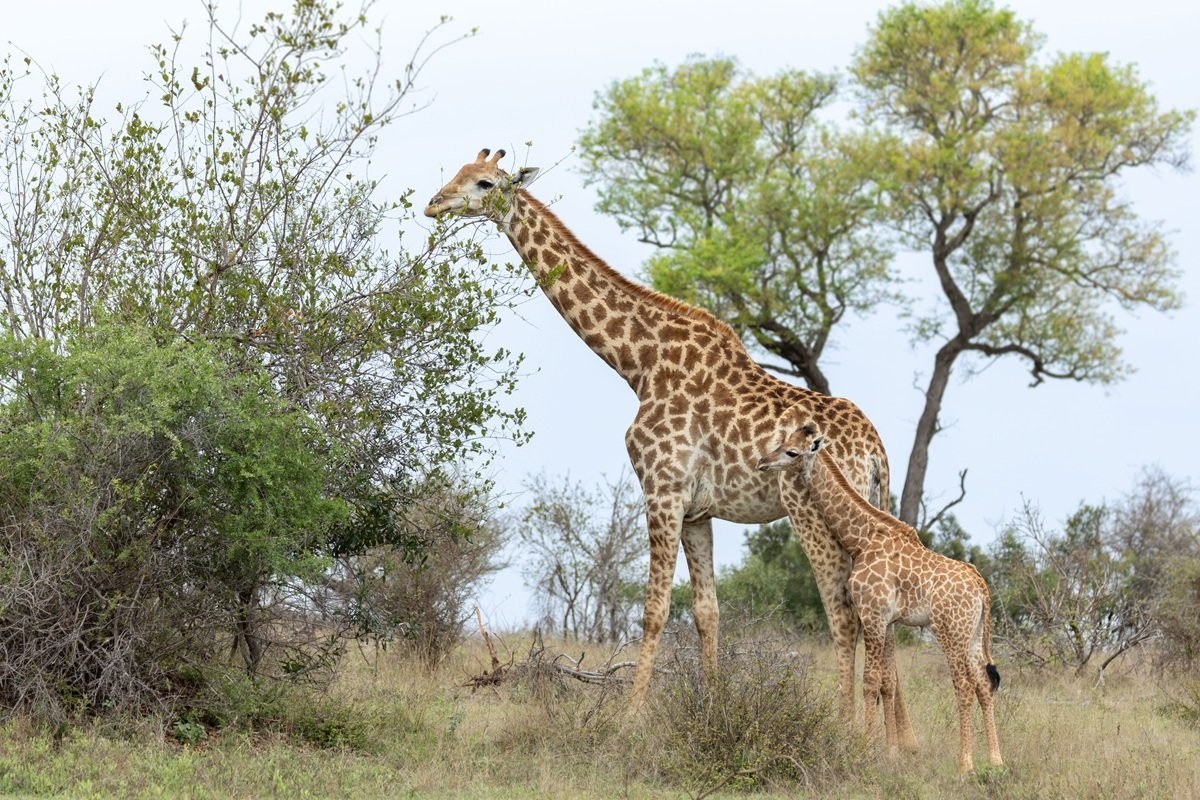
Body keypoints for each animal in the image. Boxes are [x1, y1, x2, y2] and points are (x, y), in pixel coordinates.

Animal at [423, 148, 915, 741]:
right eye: (455, 172)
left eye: (484, 183)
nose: (433, 203)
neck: (638, 363)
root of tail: (876, 451)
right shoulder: (697, 510)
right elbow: (707, 612)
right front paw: (713, 710)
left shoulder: (661, 489)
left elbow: (654, 608)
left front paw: (630, 719)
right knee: (878, 616)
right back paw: (898, 739)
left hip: (813, 512)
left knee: (843, 612)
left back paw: (847, 729)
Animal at [758, 417, 1003, 776]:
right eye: (782, 441)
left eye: (791, 451)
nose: (762, 461)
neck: (861, 538)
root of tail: (982, 589)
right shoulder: (887, 621)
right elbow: (887, 682)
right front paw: (891, 753)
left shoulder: (871, 614)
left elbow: (870, 682)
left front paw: (863, 747)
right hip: (973, 635)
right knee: (984, 684)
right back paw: (996, 760)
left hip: (951, 632)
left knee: (964, 685)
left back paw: (965, 765)